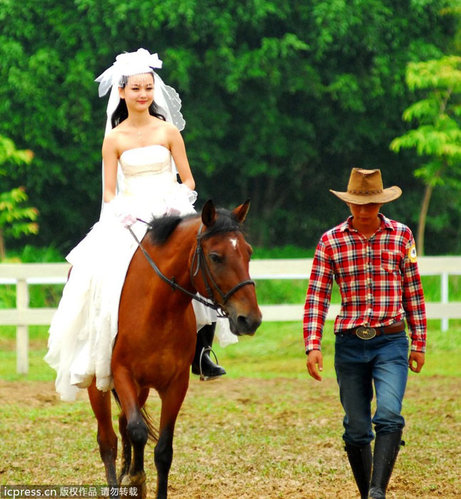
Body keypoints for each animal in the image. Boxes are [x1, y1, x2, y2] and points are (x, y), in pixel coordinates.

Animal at [86, 200, 258, 499]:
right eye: (216, 256)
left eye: (247, 252)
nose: (251, 319)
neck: (157, 310)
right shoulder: (122, 373)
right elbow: (138, 431)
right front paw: (136, 478)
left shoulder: (176, 384)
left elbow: (163, 450)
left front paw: (140, 479)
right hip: (100, 385)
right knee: (108, 439)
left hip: (142, 388)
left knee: (122, 422)